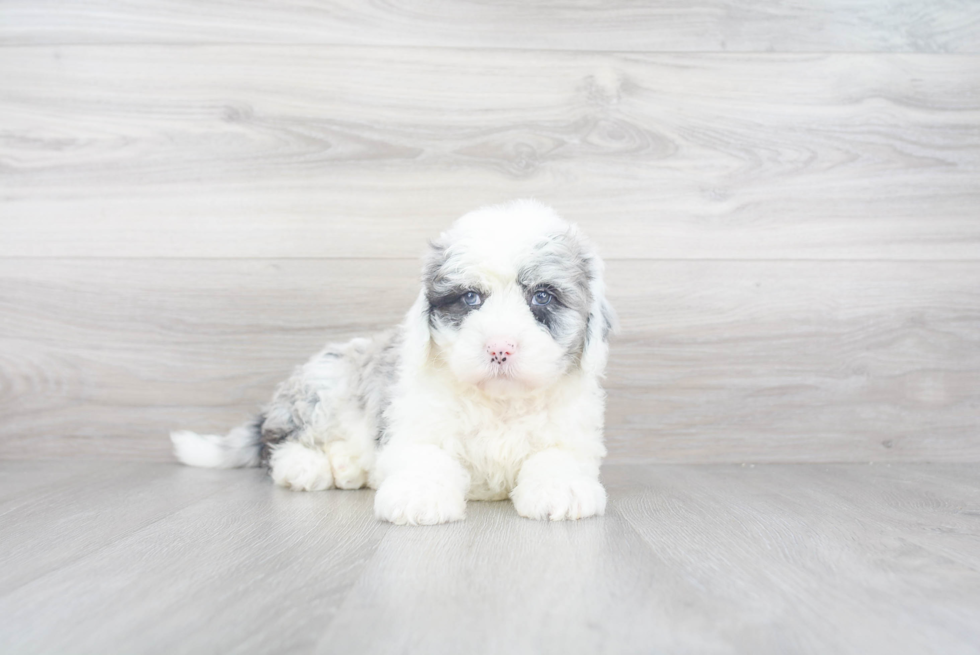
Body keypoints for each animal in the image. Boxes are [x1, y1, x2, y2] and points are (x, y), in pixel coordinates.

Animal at [168, 199, 612, 524]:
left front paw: (562, 490)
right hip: (322, 384)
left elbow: (556, 458)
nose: (499, 348)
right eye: (470, 297)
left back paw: (349, 467)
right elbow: (427, 456)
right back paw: (307, 467)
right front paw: (419, 496)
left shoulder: (572, 436)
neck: (499, 403)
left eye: (543, 296)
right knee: (276, 444)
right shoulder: (413, 425)